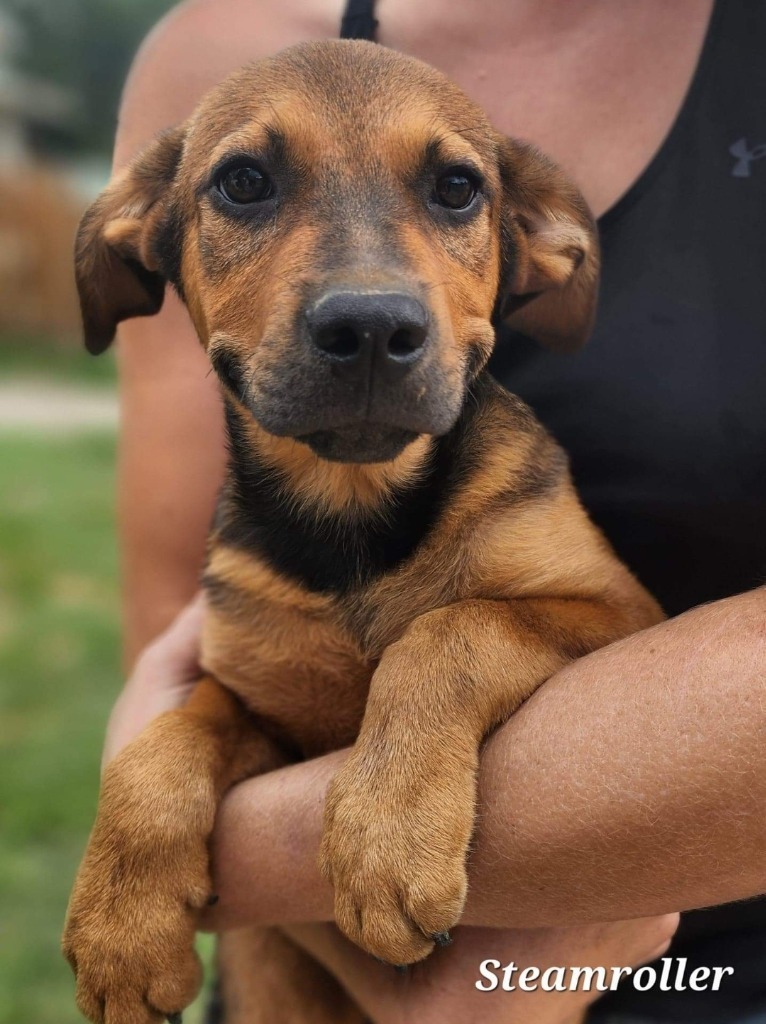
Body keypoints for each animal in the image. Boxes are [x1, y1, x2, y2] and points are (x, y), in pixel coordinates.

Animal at [62, 37, 663, 1024]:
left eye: (457, 187)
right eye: (243, 181)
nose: (373, 327)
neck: (353, 519)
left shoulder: (618, 611)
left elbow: (453, 627)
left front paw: (386, 841)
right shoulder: (265, 705)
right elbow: (165, 738)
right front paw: (120, 924)